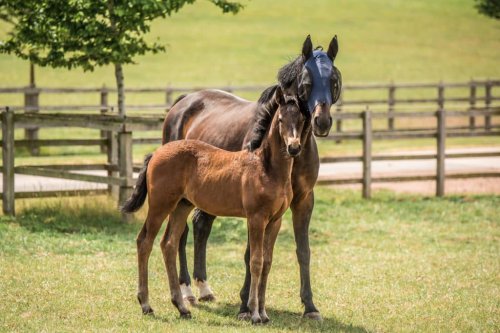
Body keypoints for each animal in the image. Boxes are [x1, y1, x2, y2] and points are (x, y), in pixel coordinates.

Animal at [122, 87, 308, 322]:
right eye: (281, 119)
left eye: (301, 119)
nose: (294, 148)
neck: (266, 168)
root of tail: (156, 152)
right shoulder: (256, 218)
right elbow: (256, 261)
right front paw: (254, 313)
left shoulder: (275, 221)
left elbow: (267, 263)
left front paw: (264, 313)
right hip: (160, 205)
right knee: (144, 241)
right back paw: (146, 304)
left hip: (182, 206)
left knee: (169, 244)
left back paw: (181, 307)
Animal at [162, 34, 342, 320]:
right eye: (307, 81)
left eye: (334, 79)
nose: (321, 122)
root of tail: (183, 102)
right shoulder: (256, 208)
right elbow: (251, 254)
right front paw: (247, 306)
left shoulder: (303, 200)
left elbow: (303, 251)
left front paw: (310, 307)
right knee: (182, 233)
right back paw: (187, 291)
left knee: (201, 226)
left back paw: (204, 289)